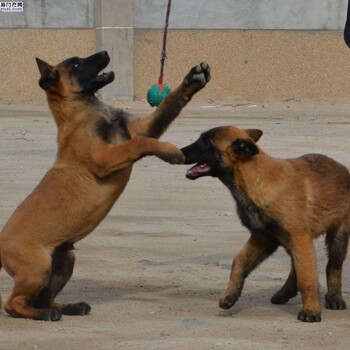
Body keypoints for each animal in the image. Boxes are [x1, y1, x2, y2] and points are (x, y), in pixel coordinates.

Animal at [0, 50, 209, 322]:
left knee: (45, 298)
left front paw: (193, 80)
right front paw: (170, 151)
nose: (105, 53)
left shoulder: (139, 127)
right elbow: (140, 143)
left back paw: (67, 307)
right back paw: (44, 314)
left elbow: (169, 104)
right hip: (38, 268)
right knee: (12, 304)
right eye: (76, 64)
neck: (83, 109)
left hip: (64, 261)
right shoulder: (105, 157)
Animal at [182, 126, 350, 322]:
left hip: (336, 236)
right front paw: (230, 295)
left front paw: (311, 311)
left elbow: (307, 277)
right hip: (289, 241)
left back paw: (334, 298)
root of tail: (344, 170)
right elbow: (239, 261)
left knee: (333, 267)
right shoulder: (263, 238)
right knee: (295, 267)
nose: (179, 152)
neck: (254, 179)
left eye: (206, 141)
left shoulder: (298, 238)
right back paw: (285, 292)